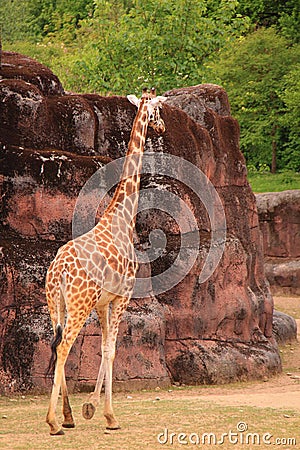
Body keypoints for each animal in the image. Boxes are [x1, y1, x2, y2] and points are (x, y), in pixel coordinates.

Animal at [45, 88, 166, 436]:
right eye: (159, 109)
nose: (163, 126)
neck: (123, 216)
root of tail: (58, 271)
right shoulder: (123, 296)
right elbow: (112, 350)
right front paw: (109, 415)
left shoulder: (103, 302)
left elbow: (102, 348)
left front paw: (90, 408)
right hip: (78, 304)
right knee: (64, 347)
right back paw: (53, 422)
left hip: (55, 304)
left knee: (55, 344)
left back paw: (67, 416)